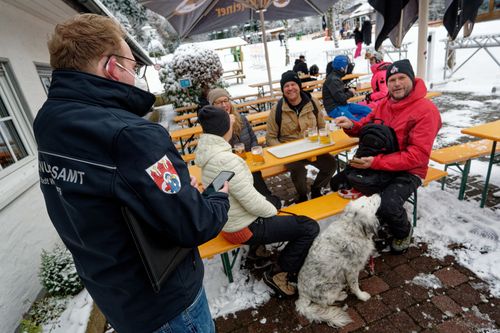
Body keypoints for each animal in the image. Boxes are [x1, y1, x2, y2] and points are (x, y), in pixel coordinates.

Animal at [296, 195, 378, 326]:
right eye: (370, 201)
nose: (377, 194)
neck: (351, 227)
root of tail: (302, 296)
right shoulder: (351, 270)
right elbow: (355, 286)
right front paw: (362, 296)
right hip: (334, 285)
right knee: (328, 302)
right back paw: (341, 295)